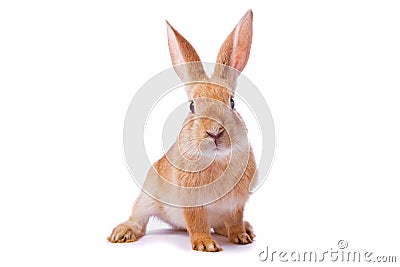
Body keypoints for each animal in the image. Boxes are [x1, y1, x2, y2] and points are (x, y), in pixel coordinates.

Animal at [107, 9, 256, 253]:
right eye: (192, 106)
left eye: (232, 102)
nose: (214, 132)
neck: (217, 160)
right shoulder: (192, 204)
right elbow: (197, 223)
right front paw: (205, 245)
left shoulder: (236, 204)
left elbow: (235, 220)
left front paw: (241, 237)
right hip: (147, 198)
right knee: (138, 218)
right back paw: (122, 233)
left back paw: (247, 229)